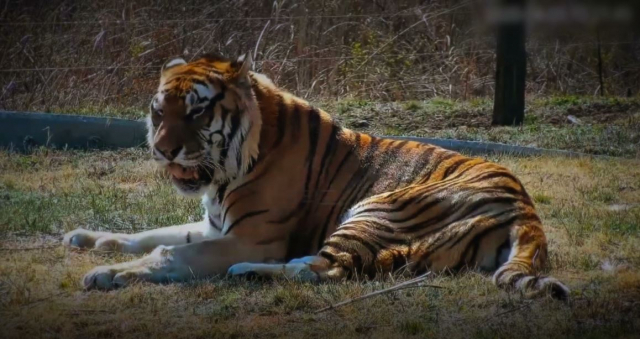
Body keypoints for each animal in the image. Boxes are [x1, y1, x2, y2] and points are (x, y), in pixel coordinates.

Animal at [63, 51, 568, 300]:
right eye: (158, 110)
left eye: (197, 110)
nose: (162, 149)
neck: (225, 172)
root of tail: (527, 210)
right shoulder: (214, 225)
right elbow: (149, 234)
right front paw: (88, 239)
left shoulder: (252, 238)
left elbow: (167, 252)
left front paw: (105, 274)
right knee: (321, 266)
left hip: (379, 208)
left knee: (328, 268)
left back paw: (245, 272)